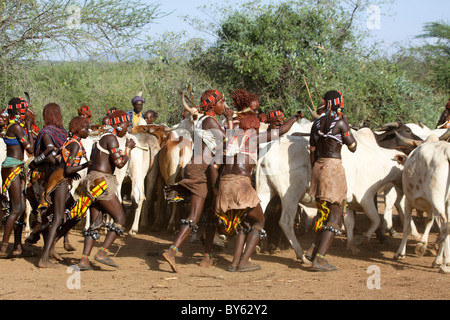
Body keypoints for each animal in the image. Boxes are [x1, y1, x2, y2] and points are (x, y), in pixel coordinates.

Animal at [394, 135, 450, 272]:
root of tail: (446, 152)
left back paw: (445, 264)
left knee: (445, 225)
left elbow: (407, 228)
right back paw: (440, 261)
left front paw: (400, 253)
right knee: (444, 228)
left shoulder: (408, 202)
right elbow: (429, 222)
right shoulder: (430, 207)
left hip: (437, 200)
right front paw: (422, 244)